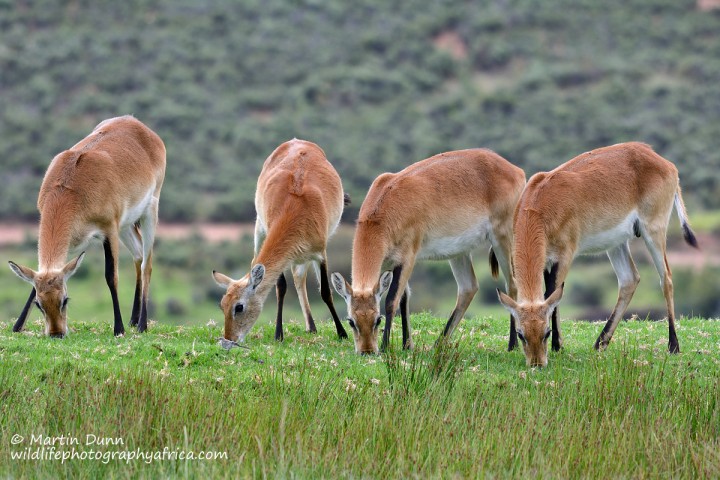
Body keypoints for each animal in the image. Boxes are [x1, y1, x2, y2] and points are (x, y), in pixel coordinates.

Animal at [8, 114, 166, 336]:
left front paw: (118, 329)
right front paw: (18, 326)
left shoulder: (109, 230)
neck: (70, 189)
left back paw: (142, 325)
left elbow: (111, 276)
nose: (56, 334)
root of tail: (135, 122)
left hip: (150, 211)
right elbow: (34, 282)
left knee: (147, 264)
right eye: (40, 304)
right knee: (138, 254)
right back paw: (134, 320)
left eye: (65, 300)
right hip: (126, 225)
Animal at [211, 139, 348, 344]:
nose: (228, 339)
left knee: (299, 277)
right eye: (222, 305)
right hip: (260, 230)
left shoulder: (320, 253)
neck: (295, 210)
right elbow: (281, 286)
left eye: (239, 306)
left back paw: (312, 327)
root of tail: (296, 140)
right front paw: (278, 334)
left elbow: (325, 291)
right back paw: (311, 327)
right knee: (265, 265)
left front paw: (342, 332)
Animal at [330, 148, 524, 354]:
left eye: (378, 319)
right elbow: (404, 298)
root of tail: (514, 170)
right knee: (469, 287)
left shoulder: (408, 258)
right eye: (351, 321)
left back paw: (512, 345)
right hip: (460, 253)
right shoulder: (393, 262)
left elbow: (391, 300)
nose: (366, 351)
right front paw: (407, 345)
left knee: (511, 285)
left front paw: (384, 347)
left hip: (502, 238)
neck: (385, 206)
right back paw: (438, 344)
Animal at [498, 142, 696, 368]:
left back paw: (673, 346)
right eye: (521, 334)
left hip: (653, 231)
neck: (538, 206)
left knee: (666, 278)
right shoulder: (547, 262)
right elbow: (551, 296)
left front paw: (558, 346)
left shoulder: (565, 256)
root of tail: (659, 159)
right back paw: (600, 343)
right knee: (630, 280)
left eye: (546, 332)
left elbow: (553, 294)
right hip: (617, 244)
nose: (537, 363)